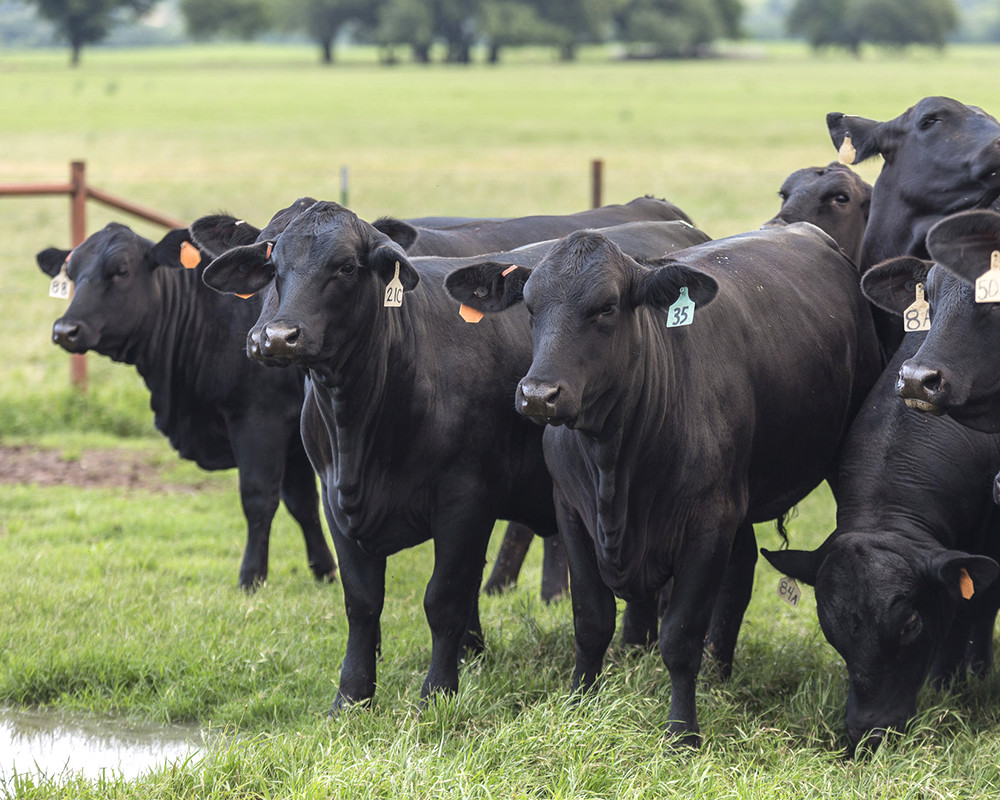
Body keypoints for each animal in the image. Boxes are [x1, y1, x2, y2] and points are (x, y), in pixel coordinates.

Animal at [37, 222, 334, 592]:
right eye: (72, 273)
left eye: (121, 271)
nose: (65, 330)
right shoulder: (295, 433)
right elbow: (303, 503)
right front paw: (325, 570)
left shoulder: (260, 420)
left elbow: (259, 498)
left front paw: (251, 577)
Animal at [197, 202, 712, 712]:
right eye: (271, 264)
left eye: (344, 266)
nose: (274, 337)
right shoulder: (333, 498)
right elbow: (361, 602)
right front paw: (351, 698)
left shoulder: (465, 500)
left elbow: (443, 599)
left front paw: (437, 694)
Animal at [442, 222, 880, 748]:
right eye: (529, 307)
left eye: (607, 307)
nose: (538, 395)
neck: (614, 463)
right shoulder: (571, 513)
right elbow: (591, 620)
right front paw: (579, 703)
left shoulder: (709, 523)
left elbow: (680, 636)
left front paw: (682, 732)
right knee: (741, 569)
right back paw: (719, 672)